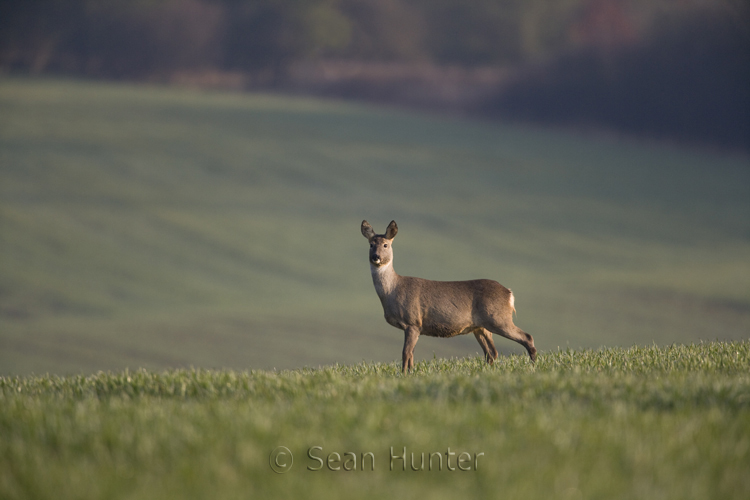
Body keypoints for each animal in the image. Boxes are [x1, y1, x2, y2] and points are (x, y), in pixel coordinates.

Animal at [362, 221, 536, 374]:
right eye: (371, 244)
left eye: (386, 245)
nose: (376, 257)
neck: (393, 291)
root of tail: (509, 294)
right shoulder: (414, 327)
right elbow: (411, 355)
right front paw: (410, 374)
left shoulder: (413, 322)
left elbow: (406, 353)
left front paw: (404, 375)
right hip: (481, 327)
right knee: (491, 353)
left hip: (498, 318)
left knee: (526, 337)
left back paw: (533, 366)